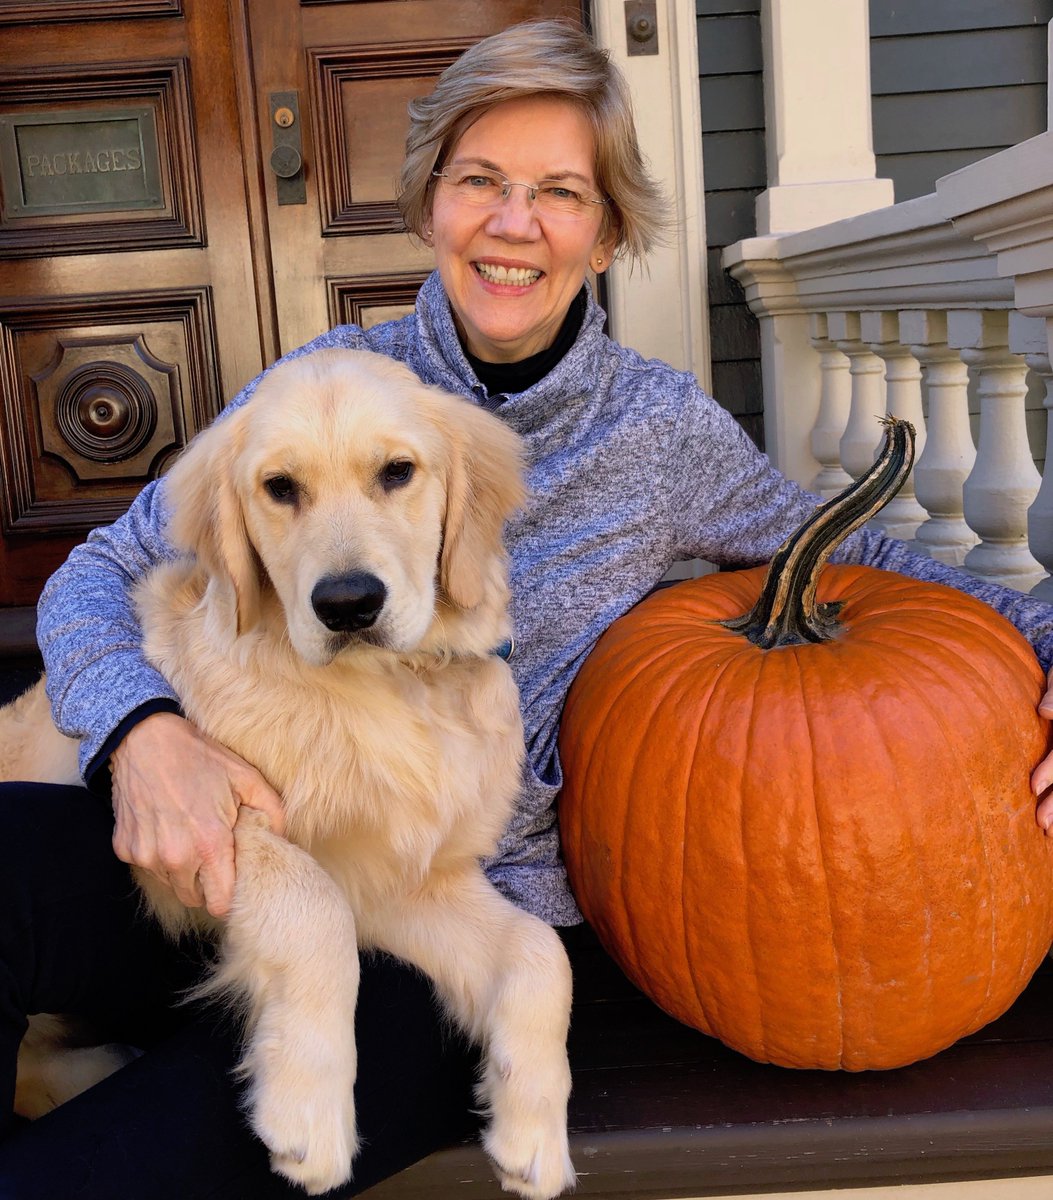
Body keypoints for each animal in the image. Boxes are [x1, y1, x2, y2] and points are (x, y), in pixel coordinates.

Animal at [0, 350, 578, 1200]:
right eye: (279, 488)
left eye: (397, 472)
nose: (348, 604)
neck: (383, 687)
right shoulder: (211, 817)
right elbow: (313, 908)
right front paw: (308, 1112)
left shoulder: (403, 879)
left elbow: (542, 954)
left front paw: (531, 1133)